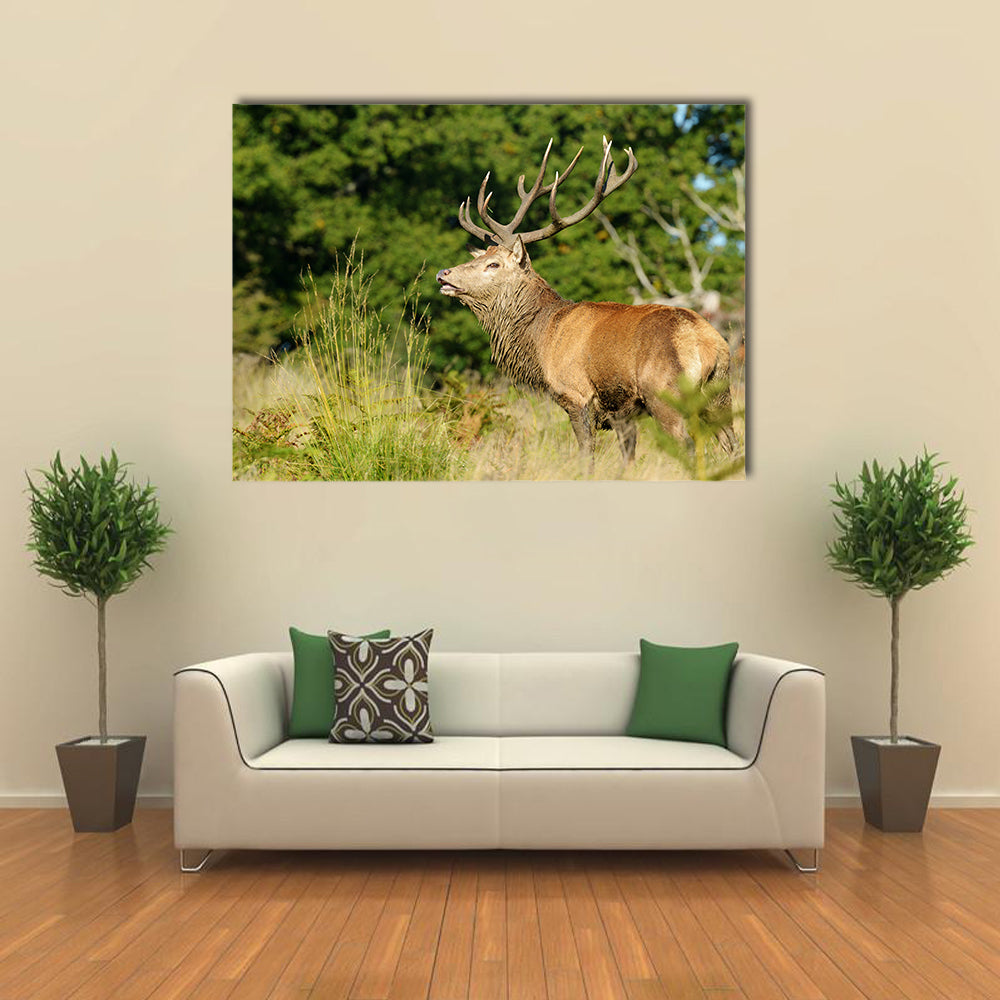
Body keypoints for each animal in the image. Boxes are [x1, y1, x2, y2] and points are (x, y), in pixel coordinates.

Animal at [436, 137, 737, 467]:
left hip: (666, 394)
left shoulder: (575, 394)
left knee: (689, 446)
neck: (543, 339)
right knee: (733, 445)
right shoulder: (622, 413)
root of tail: (709, 345)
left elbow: (586, 455)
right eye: (481, 257)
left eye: (494, 265)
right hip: (720, 396)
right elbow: (627, 458)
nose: (443, 274)